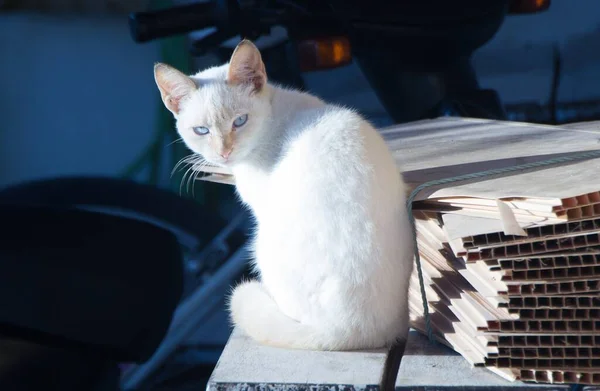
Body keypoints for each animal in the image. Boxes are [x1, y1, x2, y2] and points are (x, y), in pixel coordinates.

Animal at [155, 40, 414, 352]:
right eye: (201, 130)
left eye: (240, 121)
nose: (224, 153)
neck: (273, 115)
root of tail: (353, 330)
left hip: (261, 243)